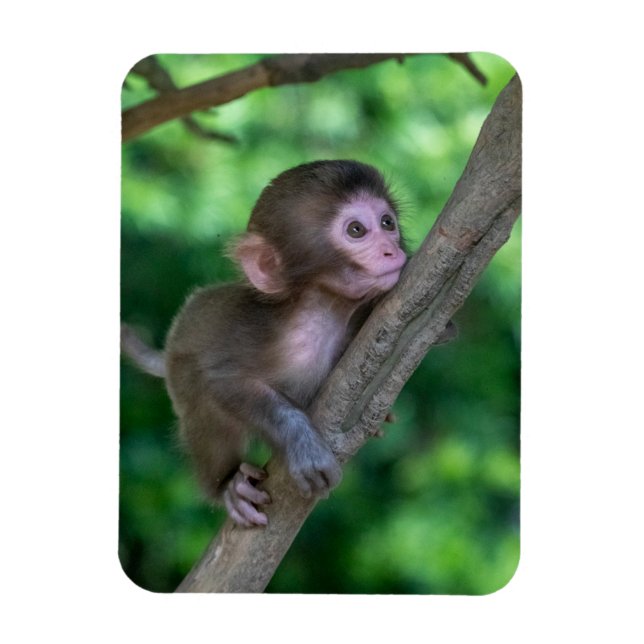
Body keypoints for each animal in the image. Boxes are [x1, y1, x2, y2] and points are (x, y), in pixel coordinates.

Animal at [162, 160, 408, 527]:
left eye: (387, 222)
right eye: (356, 230)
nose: (393, 250)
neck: (322, 315)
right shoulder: (255, 336)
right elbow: (221, 381)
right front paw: (301, 444)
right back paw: (228, 486)